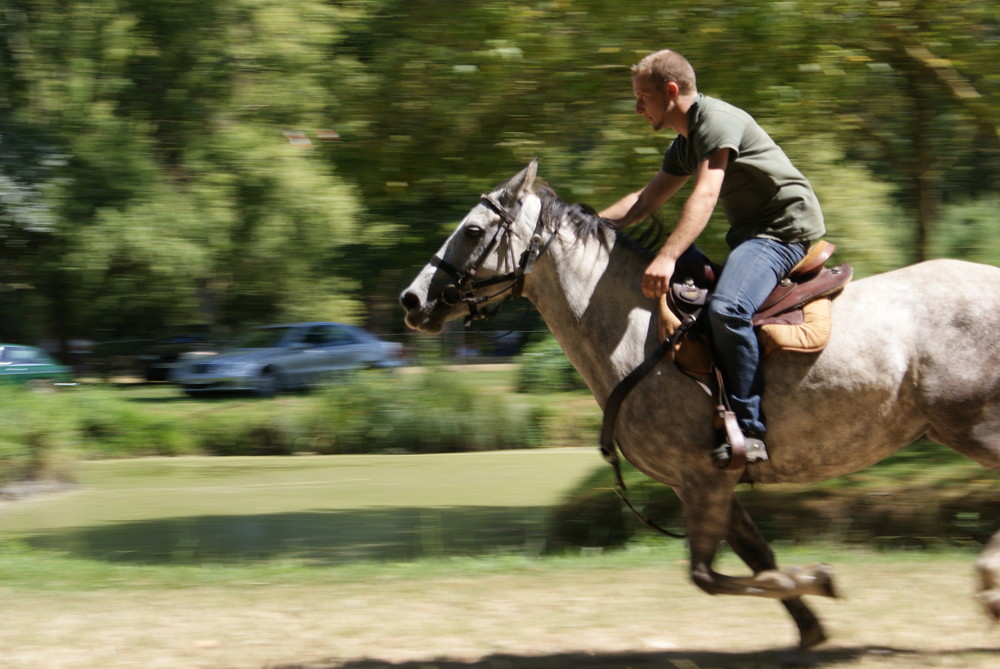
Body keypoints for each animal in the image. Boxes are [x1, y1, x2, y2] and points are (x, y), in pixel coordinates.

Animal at [398, 159, 1000, 648]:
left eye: (473, 230)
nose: (412, 300)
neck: (638, 335)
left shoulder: (703, 480)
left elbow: (708, 577)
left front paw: (821, 579)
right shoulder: (715, 481)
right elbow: (758, 561)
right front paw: (810, 627)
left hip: (972, 425)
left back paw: (989, 585)